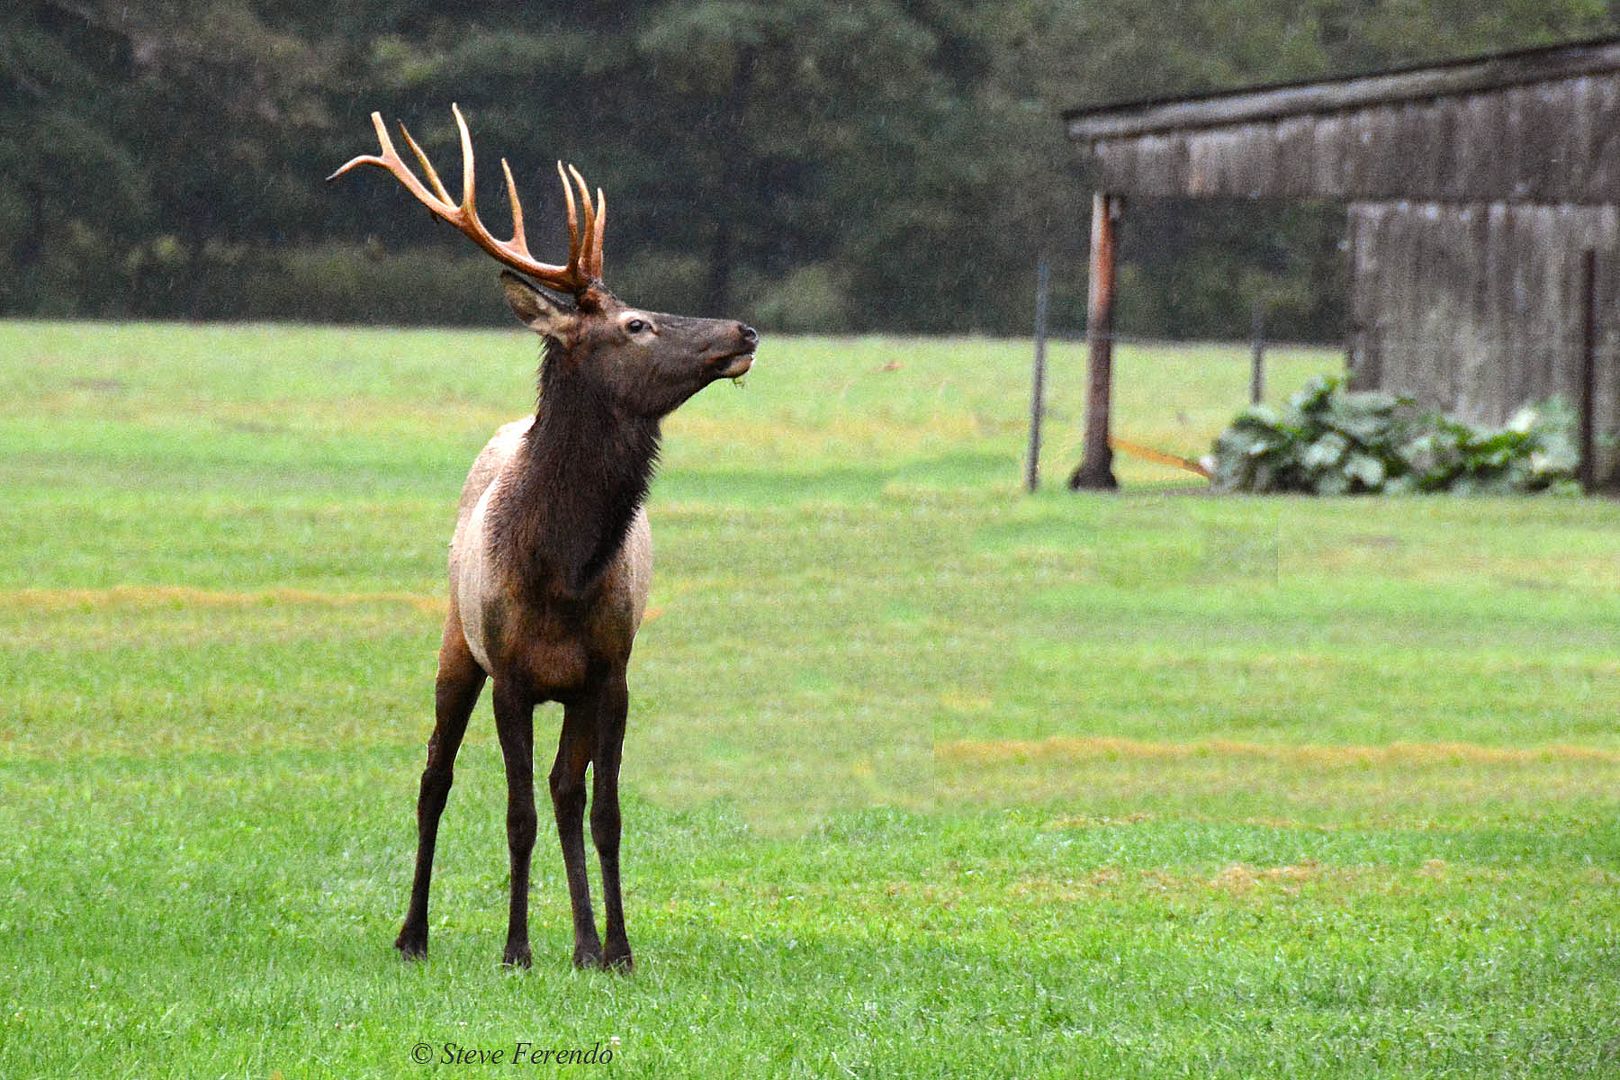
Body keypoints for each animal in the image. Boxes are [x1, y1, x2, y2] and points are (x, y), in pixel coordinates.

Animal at [329, 106, 757, 971]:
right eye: (636, 323)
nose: (745, 329)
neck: (563, 571)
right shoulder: (512, 673)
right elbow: (515, 814)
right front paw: (516, 949)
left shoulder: (612, 671)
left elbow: (602, 813)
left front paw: (615, 949)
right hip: (455, 643)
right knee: (434, 778)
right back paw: (413, 934)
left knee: (566, 791)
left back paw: (585, 944)